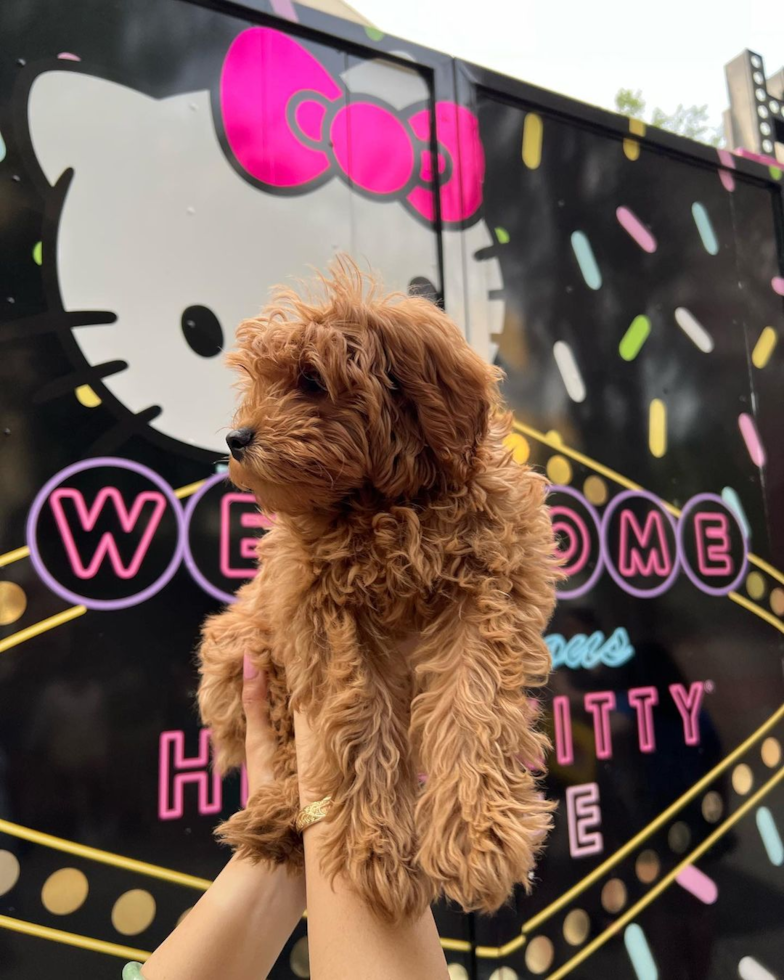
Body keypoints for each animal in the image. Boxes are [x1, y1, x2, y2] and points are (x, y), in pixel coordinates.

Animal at [199, 256, 560, 924]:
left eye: (311, 380)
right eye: (259, 381)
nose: (237, 438)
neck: (386, 504)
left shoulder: (486, 593)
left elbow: (472, 706)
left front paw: (478, 839)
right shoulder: (322, 615)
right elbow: (358, 719)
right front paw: (377, 850)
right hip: (241, 648)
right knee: (284, 746)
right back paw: (277, 812)